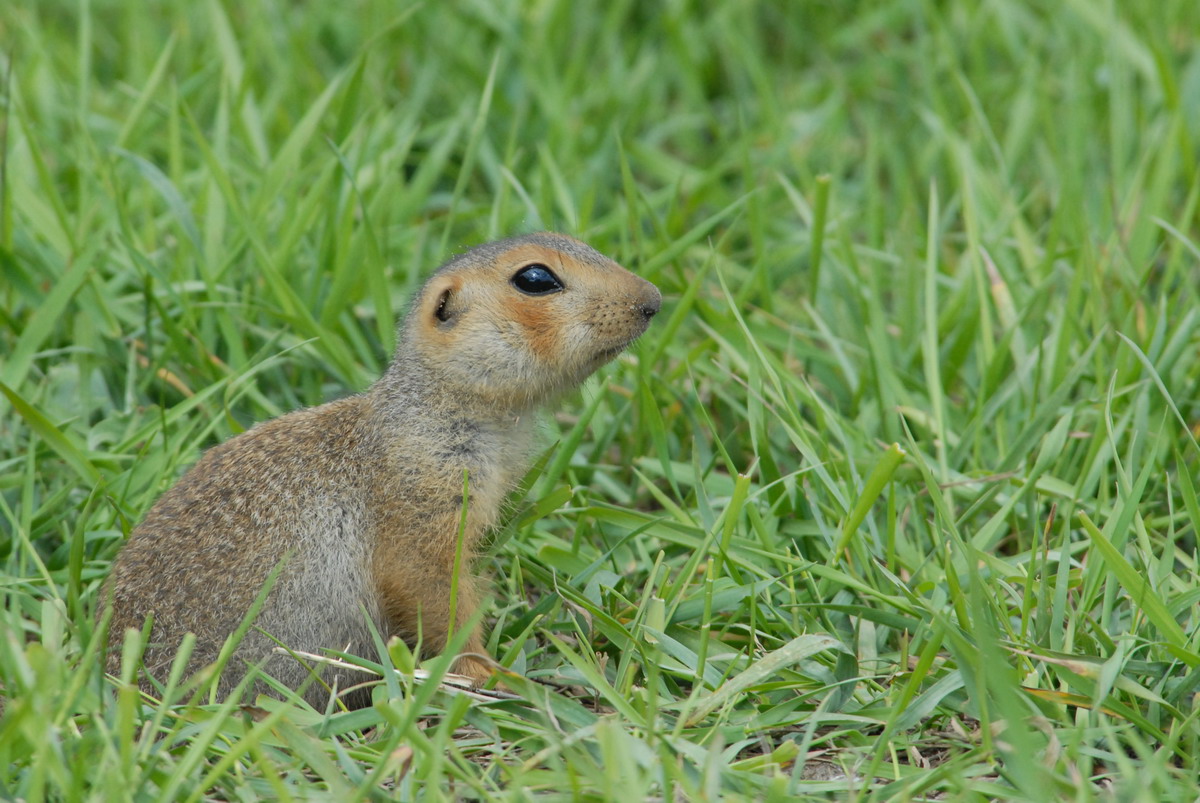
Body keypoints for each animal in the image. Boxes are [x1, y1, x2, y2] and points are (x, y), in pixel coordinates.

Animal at [100, 230, 667, 700]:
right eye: (535, 278)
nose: (654, 300)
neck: (434, 405)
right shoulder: (422, 490)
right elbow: (427, 585)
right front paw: (488, 671)